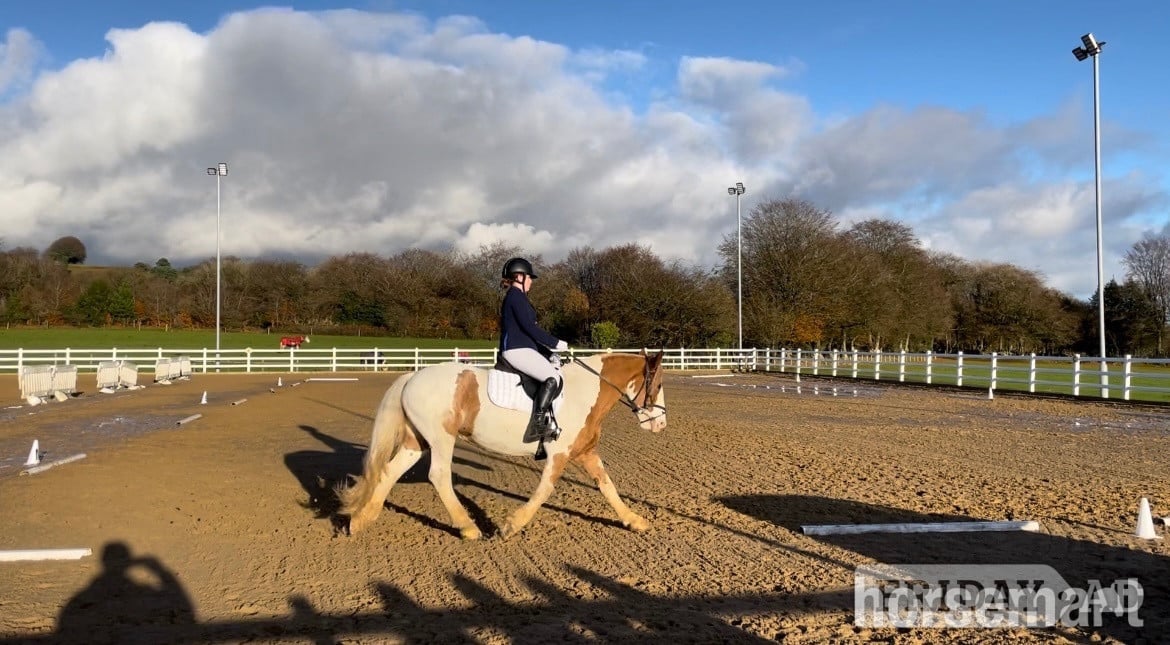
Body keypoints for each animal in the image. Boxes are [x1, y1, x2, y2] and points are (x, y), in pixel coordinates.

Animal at [337, 350, 667, 539]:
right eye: (659, 383)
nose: (661, 425)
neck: (584, 391)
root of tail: (412, 376)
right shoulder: (559, 454)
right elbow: (544, 490)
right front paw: (511, 526)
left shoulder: (585, 452)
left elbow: (607, 485)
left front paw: (635, 520)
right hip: (442, 438)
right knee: (439, 476)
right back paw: (468, 528)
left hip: (416, 440)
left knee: (389, 472)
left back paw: (360, 521)